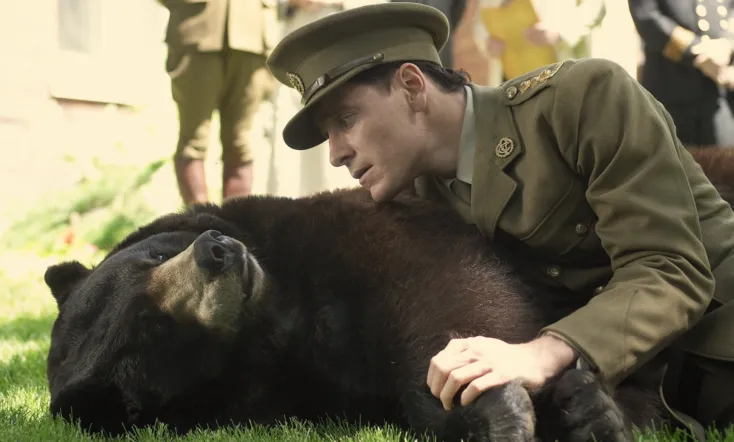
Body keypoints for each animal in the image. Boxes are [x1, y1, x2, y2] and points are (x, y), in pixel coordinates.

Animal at [44, 185, 668, 442]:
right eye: (152, 329)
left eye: (154, 254)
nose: (217, 252)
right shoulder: (305, 382)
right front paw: (509, 410)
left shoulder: (355, 226)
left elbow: (449, 291)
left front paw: (496, 395)